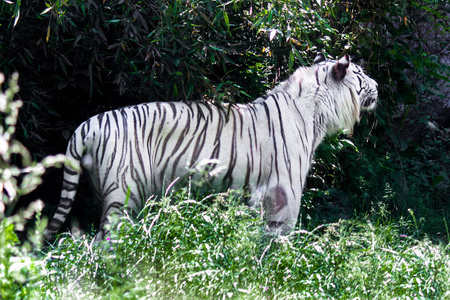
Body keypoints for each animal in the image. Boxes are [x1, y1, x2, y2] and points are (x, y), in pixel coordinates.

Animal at [44, 52, 376, 240]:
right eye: (361, 75)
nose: (378, 86)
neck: (318, 112)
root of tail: (87, 125)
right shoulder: (284, 190)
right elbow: (280, 236)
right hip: (123, 194)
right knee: (106, 243)